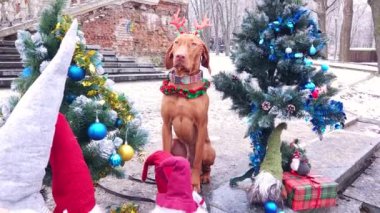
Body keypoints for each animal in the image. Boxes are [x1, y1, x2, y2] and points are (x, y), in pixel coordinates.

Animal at [160, 33, 215, 191]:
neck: (183, 88)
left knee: (204, 166)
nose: (179, 56)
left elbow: (197, 161)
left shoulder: (201, 126)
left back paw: (204, 177)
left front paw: (195, 183)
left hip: (208, 150)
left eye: (194, 44)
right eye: (176, 42)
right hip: (176, 144)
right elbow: (166, 153)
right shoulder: (166, 125)